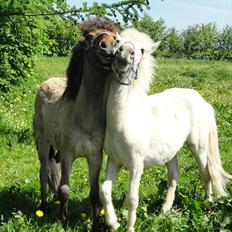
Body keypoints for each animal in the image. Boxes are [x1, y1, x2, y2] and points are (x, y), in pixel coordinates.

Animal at [33, 16, 119, 230]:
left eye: (116, 37)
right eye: (89, 37)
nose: (109, 48)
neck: (84, 118)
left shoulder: (95, 157)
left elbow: (94, 195)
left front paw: (95, 224)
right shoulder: (68, 155)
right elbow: (65, 189)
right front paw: (63, 220)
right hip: (43, 142)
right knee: (43, 172)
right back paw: (43, 207)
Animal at [100, 28, 232, 231]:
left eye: (142, 50)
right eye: (118, 41)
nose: (125, 53)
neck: (125, 118)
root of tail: (203, 101)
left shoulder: (136, 165)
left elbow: (132, 199)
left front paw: (129, 227)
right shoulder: (114, 160)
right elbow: (104, 191)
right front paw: (113, 223)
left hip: (199, 148)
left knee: (207, 174)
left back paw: (208, 204)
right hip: (171, 152)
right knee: (174, 176)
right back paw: (164, 210)